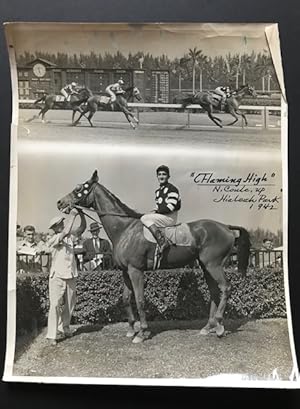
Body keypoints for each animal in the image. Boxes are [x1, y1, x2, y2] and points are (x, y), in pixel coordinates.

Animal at [56, 169, 251, 342]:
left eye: (79, 188)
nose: (60, 202)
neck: (125, 229)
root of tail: (226, 227)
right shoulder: (125, 271)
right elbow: (126, 299)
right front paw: (131, 330)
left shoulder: (136, 270)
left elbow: (140, 300)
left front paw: (142, 333)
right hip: (205, 266)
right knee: (214, 292)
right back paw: (208, 327)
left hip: (214, 265)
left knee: (226, 288)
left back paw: (219, 325)